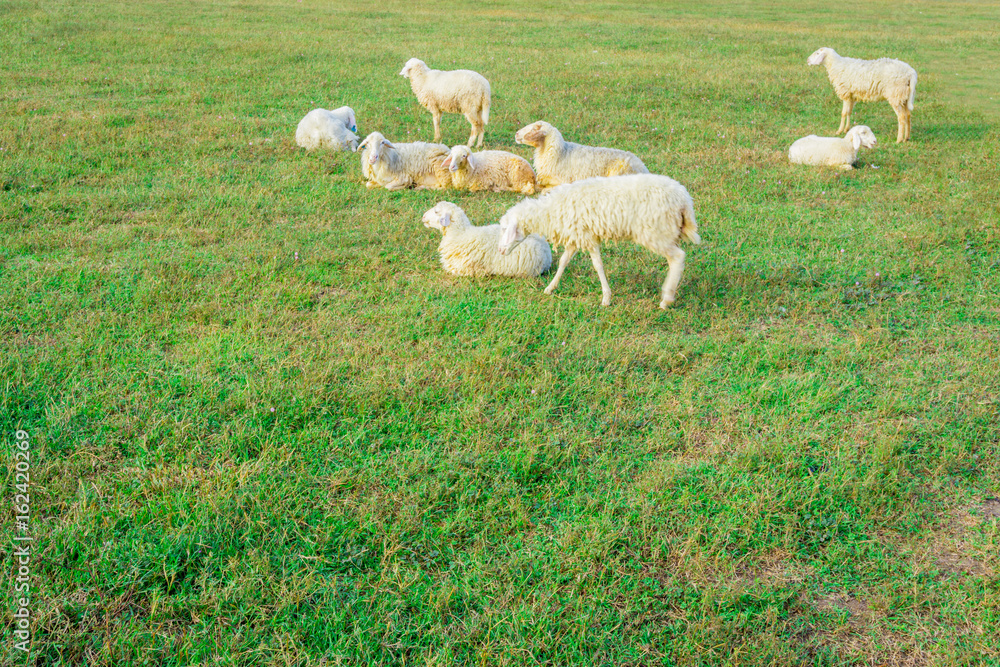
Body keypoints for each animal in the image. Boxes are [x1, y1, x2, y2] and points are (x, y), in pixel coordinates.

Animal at [497, 174, 700, 308]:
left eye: (506, 229)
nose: (500, 251)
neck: (549, 210)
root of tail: (684, 199)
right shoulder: (576, 235)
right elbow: (563, 261)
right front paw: (550, 288)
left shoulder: (587, 237)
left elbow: (598, 265)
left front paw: (606, 298)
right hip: (666, 232)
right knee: (675, 259)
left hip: (656, 232)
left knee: (678, 258)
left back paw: (666, 299)